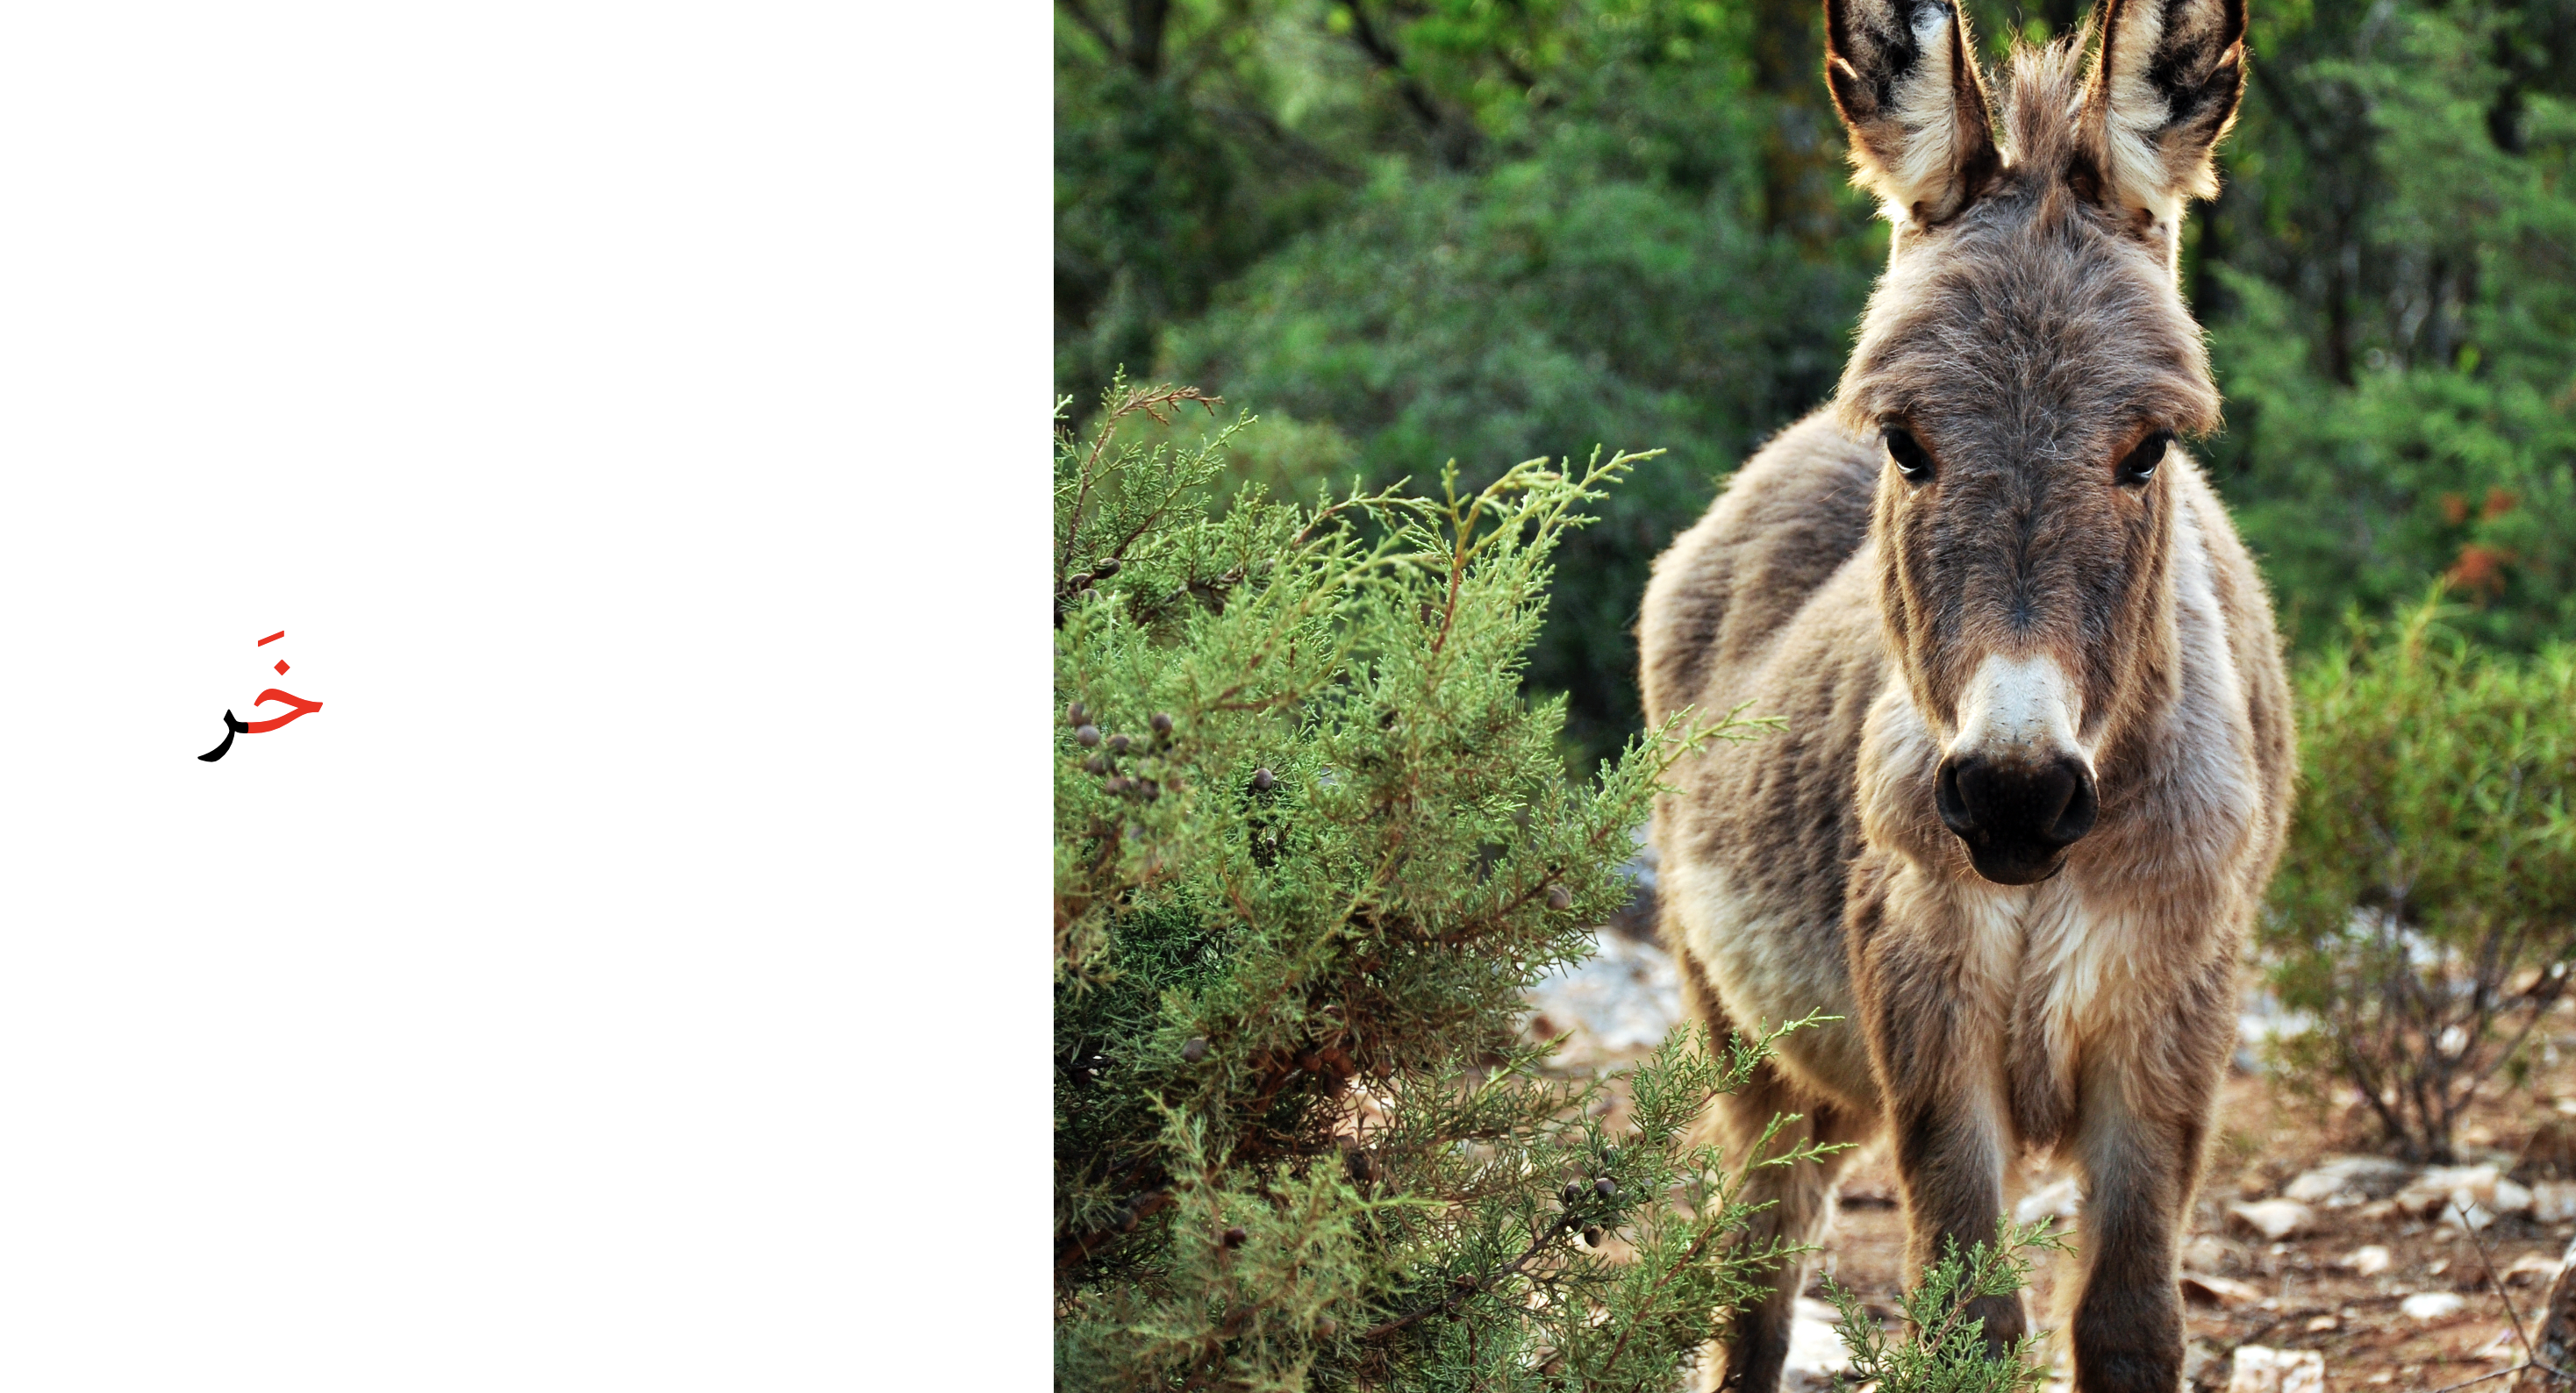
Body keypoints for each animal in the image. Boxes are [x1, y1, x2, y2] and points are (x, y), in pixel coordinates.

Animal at [1637, 4, 2292, 1389]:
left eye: (2148, 447)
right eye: (1905, 441)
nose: (2013, 797)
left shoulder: (2172, 1027)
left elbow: (2130, 1319)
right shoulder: (1929, 1027)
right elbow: (1970, 1325)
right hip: (1748, 1041)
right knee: (1753, 1276)